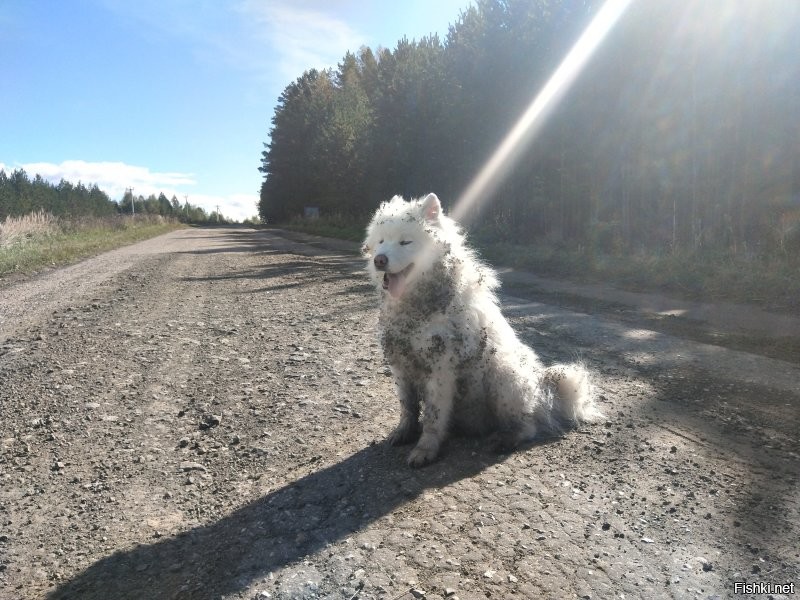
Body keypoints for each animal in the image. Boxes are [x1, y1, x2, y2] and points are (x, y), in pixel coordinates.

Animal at [362, 195, 600, 466]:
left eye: (405, 241)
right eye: (381, 241)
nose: (379, 260)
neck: (417, 302)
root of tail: (543, 391)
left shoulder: (440, 368)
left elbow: (433, 417)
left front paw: (425, 449)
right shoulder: (400, 364)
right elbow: (408, 408)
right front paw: (404, 432)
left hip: (504, 376)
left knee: (528, 425)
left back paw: (506, 439)